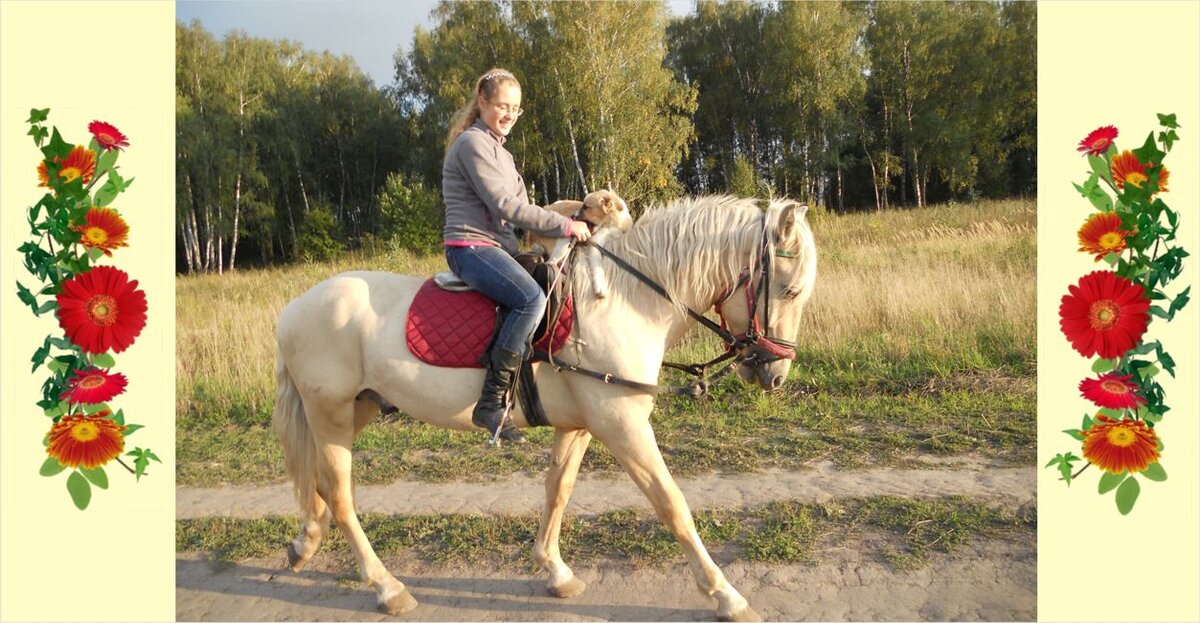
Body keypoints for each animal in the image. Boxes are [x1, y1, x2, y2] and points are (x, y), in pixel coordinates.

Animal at [272, 193, 816, 619]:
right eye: (790, 290)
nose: (776, 374)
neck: (626, 300)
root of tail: (294, 308)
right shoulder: (622, 425)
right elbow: (671, 504)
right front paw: (726, 596)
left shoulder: (581, 426)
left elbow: (558, 490)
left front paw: (556, 572)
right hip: (330, 411)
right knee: (340, 493)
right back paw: (387, 587)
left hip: (356, 408)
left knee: (319, 480)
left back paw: (304, 543)